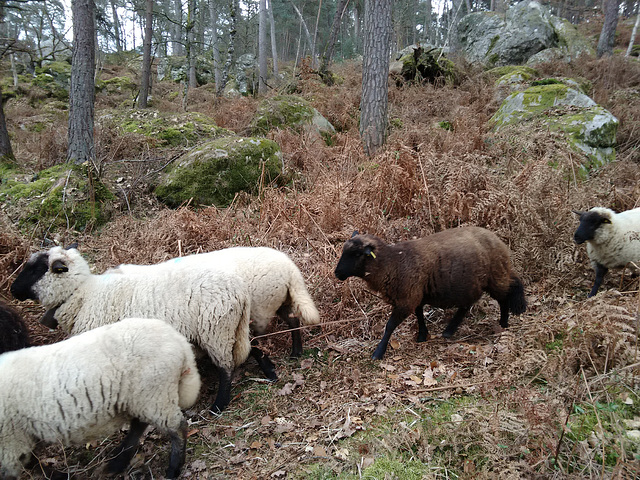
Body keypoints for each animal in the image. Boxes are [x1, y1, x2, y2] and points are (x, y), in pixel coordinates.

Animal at [0, 316, 200, 478]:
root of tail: (178, 340)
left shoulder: (10, 440)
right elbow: (30, 461)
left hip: (154, 392)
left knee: (177, 427)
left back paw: (173, 469)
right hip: (142, 396)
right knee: (139, 425)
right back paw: (116, 464)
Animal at [10, 246, 250, 410]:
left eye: (37, 269)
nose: (12, 290)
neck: (83, 294)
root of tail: (240, 290)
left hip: (215, 329)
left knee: (226, 367)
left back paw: (219, 405)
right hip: (228, 330)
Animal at [109, 248, 322, 368]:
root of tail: (290, 268)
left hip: (261, 308)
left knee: (260, 335)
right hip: (278, 301)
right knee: (293, 319)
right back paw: (295, 352)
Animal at [336, 229, 524, 360]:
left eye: (357, 254)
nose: (337, 273)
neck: (391, 263)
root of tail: (498, 240)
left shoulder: (407, 299)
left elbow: (390, 326)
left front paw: (378, 352)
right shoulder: (416, 295)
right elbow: (419, 314)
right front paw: (422, 335)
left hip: (494, 277)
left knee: (504, 296)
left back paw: (503, 323)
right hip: (473, 283)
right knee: (467, 304)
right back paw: (450, 330)